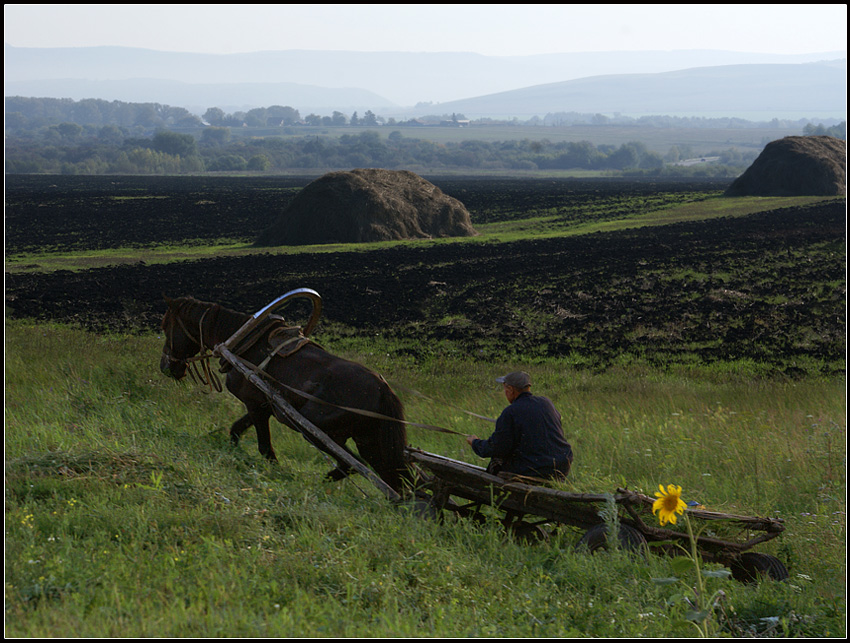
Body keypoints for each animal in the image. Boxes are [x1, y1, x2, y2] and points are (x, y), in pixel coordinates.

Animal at [161, 294, 410, 496]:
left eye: (165, 326)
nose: (166, 367)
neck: (244, 344)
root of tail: (383, 389)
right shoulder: (264, 405)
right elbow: (236, 430)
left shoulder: (255, 405)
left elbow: (264, 448)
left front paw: (277, 474)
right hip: (370, 441)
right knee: (391, 477)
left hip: (316, 431)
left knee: (353, 465)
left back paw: (316, 484)